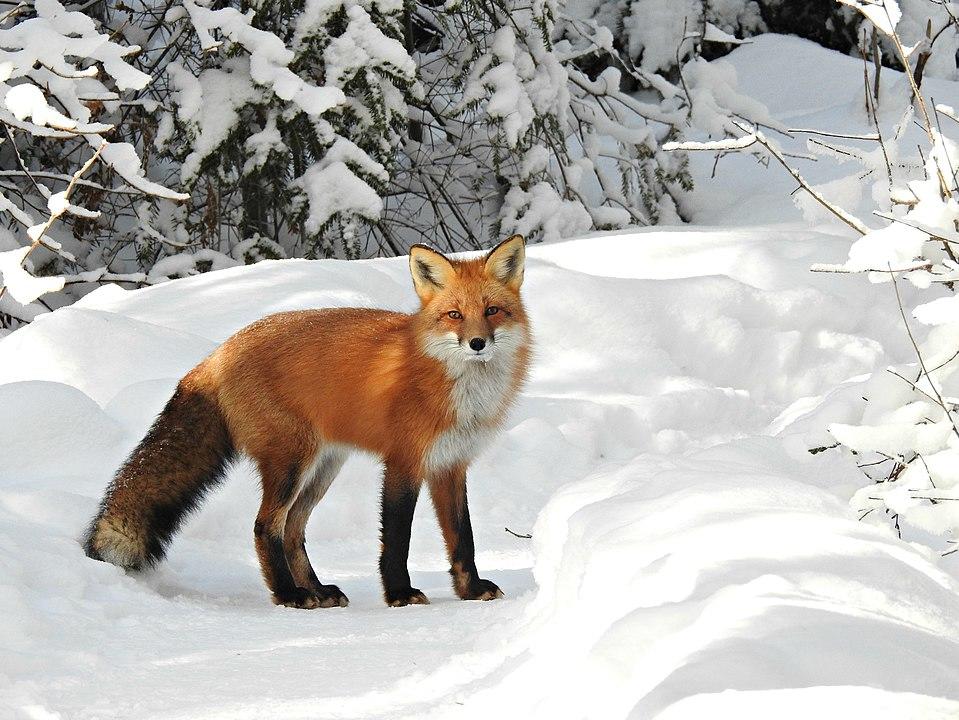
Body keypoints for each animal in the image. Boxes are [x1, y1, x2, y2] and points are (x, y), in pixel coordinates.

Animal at [83, 235, 531, 609]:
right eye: (454, 314)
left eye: (492, 311)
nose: (477, 343)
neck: (456, 388)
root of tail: (218, 353)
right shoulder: (404, 462)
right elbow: (397, 538)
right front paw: (399, 594)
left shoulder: (450, 465)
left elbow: (463, 537)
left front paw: (470, 590)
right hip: (291, 463)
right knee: (265, 527)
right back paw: (289, 595)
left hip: (323, 467)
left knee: (293, 530)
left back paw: (316, 589)